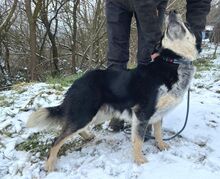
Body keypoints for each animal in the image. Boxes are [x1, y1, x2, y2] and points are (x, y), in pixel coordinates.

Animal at [26, 10, 198, 172]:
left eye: (188, 25)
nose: (172, 12)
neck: (172, 61)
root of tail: (77, 82)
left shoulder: (158, 113)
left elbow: (159, 133)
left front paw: (161, 146)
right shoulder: (142, 113)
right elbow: (138, 140)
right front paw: (140, 161)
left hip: (98, 113)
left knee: (69, 129)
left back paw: (87, 136)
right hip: (86, 113)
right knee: (57, 139)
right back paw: (49, 165)